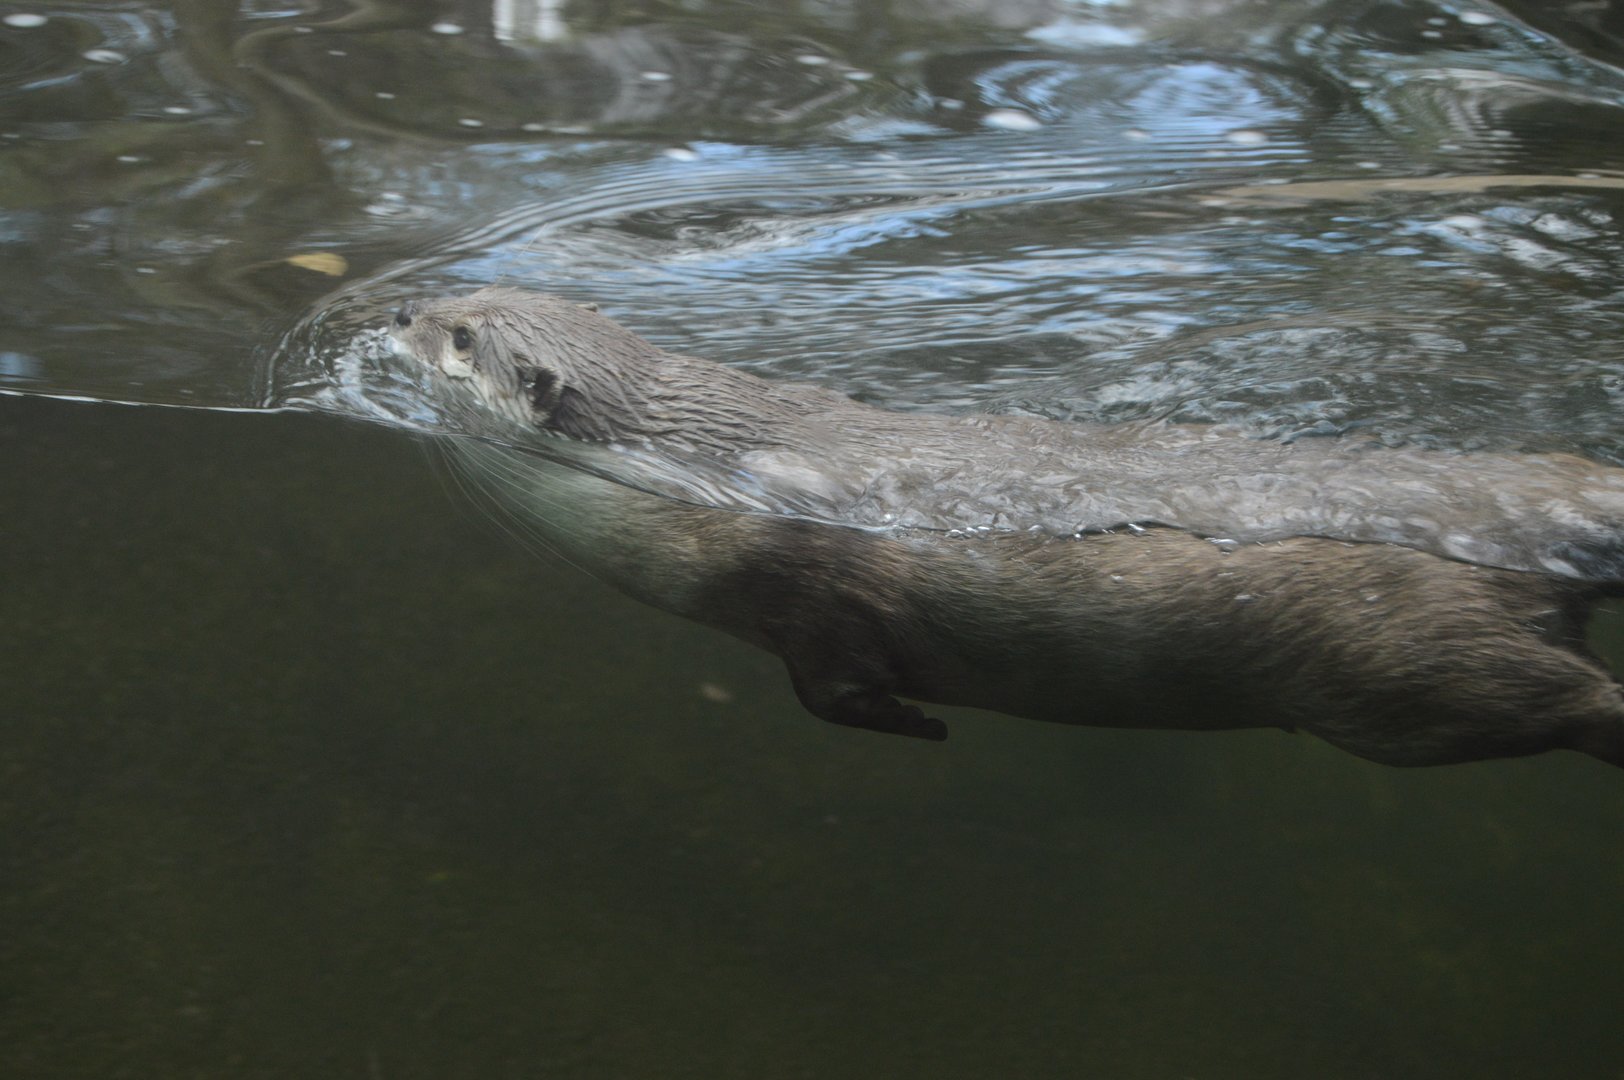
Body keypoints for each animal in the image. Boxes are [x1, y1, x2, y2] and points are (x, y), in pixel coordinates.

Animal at [389, 289, 1624, 768]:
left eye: (464, 334)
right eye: (467, 295)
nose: (400, 307)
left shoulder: (812, 591)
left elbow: (838, 683)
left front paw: (919, 726)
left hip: (1388, 663)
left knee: (1539, 697)